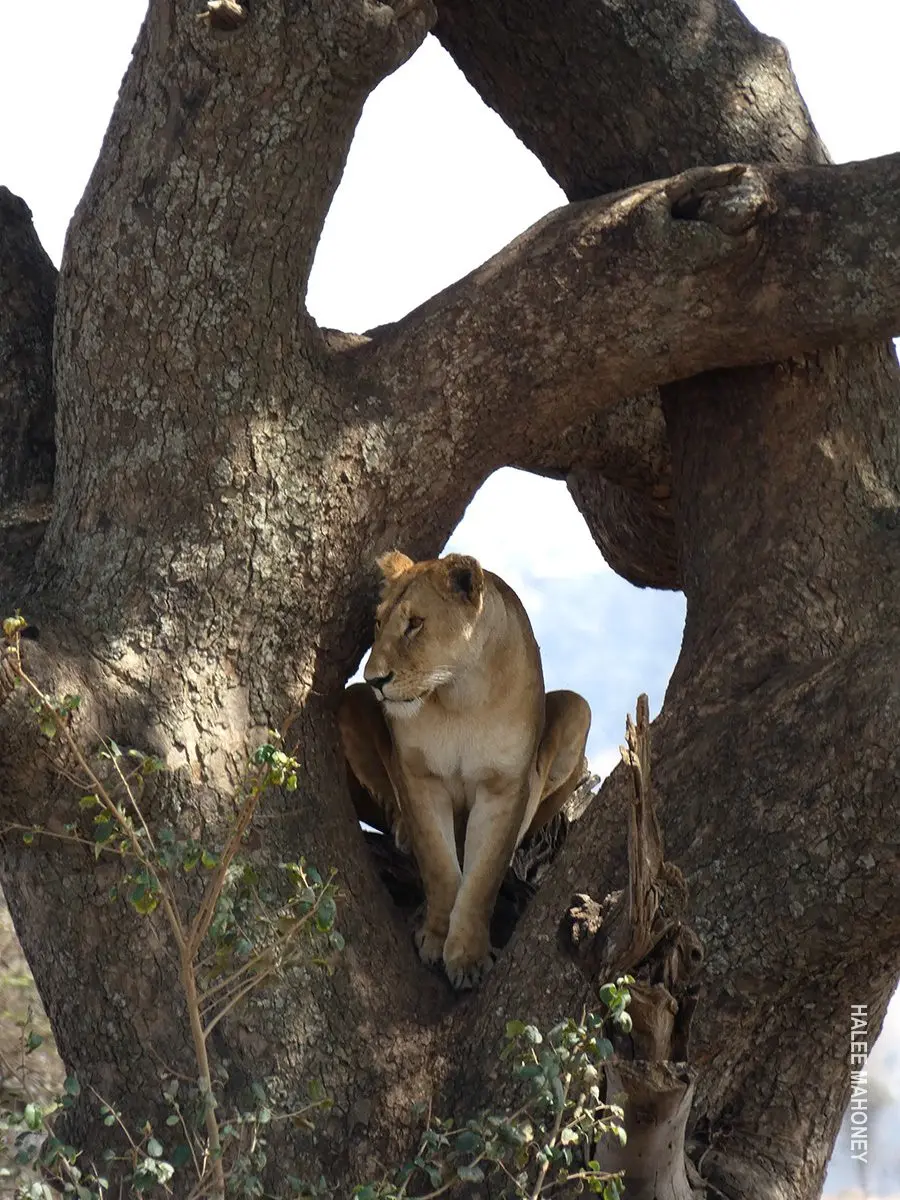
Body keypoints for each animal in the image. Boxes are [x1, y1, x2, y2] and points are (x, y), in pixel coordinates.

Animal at [338, 551, 591, 989]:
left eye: (415, 623)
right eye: (378, 623)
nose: (374, 679)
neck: (459, 697)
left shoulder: (504, 787)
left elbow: (482, 879)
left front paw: (468, 958)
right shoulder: (418, 776)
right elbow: (440, 866)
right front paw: (437, 938)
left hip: (579, 708)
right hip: (349, 703)